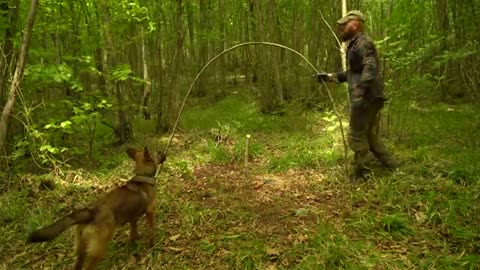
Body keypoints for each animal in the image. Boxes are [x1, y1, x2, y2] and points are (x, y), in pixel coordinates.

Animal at [28, 148, 168, 270]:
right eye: (156, 153)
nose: (164, 152)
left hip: (81, 250)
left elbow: (133, 232)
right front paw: (152, 244)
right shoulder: (150, 212)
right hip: (98, 250)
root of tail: (91, 213)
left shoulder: (132, 218)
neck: (143, 175)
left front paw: (134, 241)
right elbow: (151, 231)